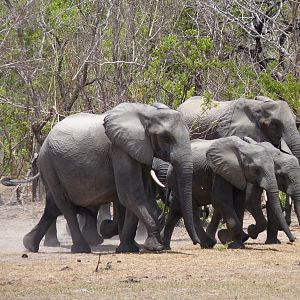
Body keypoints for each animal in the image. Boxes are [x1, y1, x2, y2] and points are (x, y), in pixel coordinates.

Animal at [19, 102, 200, 253]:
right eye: (166, 138)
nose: (196, 242)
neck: (147, 113)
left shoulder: (139, 151)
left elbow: (139, 195)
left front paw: (128, 249)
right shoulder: (119, 149)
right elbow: (130, 194)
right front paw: (154, 247)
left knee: (53, 205)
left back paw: (29, 245)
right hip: (48, 163)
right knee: (65, 206)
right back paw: (81, 249)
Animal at [155, 136, 296, 248]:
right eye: (256, 170)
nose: (293, 240)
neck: (244, 148)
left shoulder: (238, 173)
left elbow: (239, 202)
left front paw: (236, 243)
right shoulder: (219, 171)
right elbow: (221, 200)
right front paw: (225, 237)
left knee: (176, 209)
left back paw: (165, 245)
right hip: (178, 178)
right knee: (190, 207)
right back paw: (208, 243)